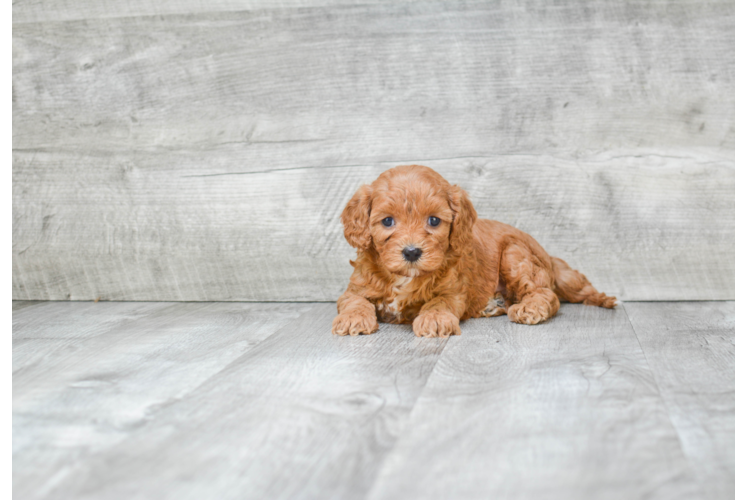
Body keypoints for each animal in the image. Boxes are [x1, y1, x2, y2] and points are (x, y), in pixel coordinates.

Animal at [332, 166, 612, 338]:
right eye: (387, 221)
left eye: (434, 221)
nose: (411, 252)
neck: (405, 277)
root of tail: (548, 257)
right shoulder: (356, 288)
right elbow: (355, 301)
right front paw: (353, 319)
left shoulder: (453, 291)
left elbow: (439, 301)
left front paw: (434, 320)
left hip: (515, 255)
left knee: (546, 294)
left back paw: (528, 308)